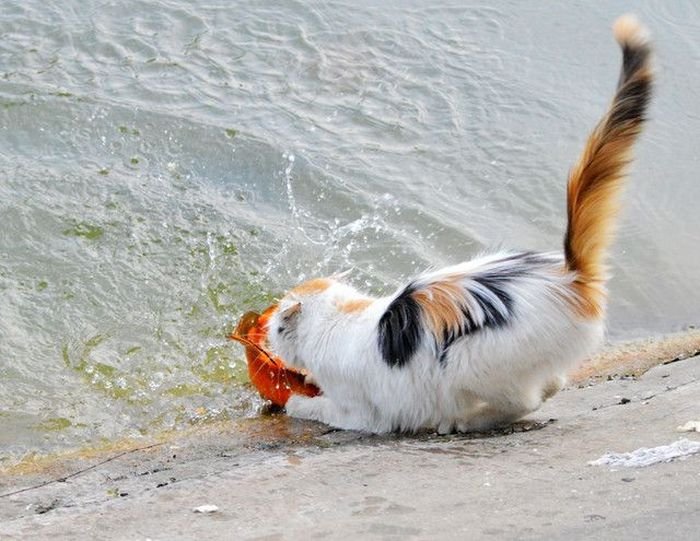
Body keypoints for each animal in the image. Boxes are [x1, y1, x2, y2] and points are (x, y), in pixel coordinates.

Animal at [266, 14, 652, 432]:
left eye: (275, 325)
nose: (267, 334)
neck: (339, 319)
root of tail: (571, 275)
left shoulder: (363, 413)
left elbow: (319, 407)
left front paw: (297, 402)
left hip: (472, 363)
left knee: (525, 401)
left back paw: (464, 421)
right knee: (552, 384)